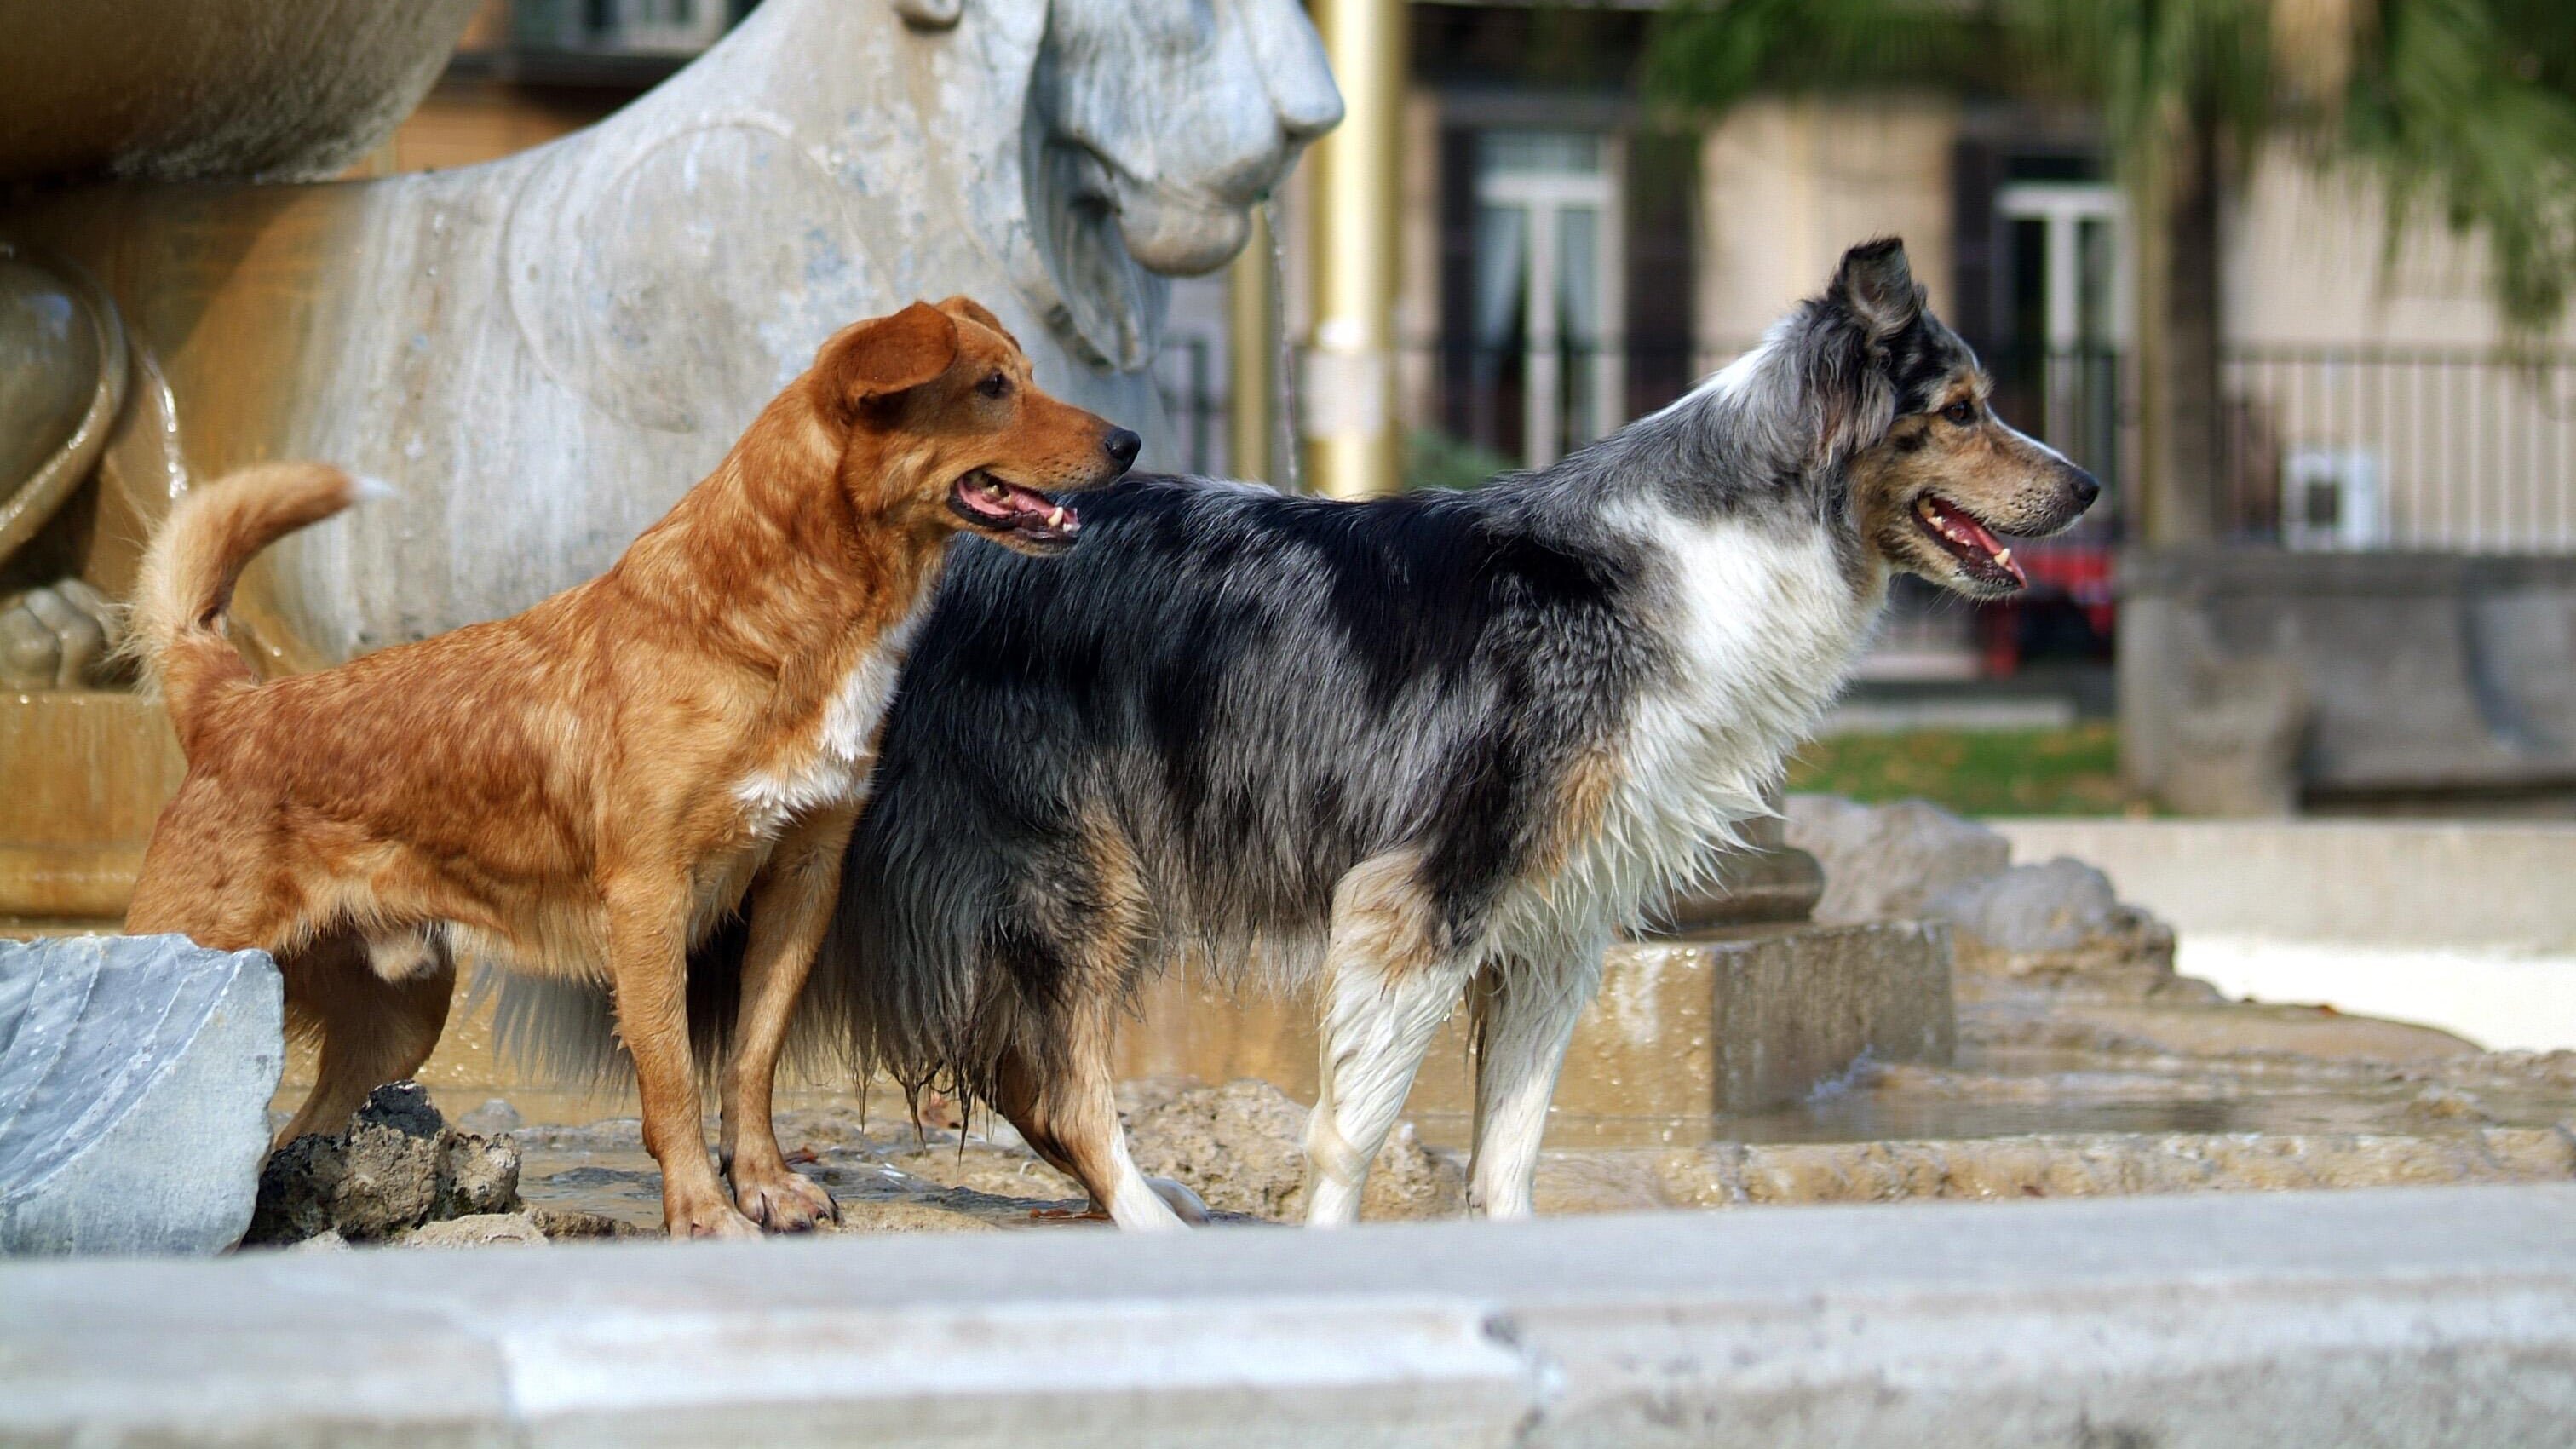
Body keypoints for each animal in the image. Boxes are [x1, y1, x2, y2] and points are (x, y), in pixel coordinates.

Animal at [121, 294, 1128, 1227]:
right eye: (992, 388)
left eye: (1027, 375)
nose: (1130, 440)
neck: (772, 625)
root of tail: (230, 707)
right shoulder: (649, 896)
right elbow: (673, 1074)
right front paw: (704, 1214)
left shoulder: (802, 876)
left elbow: (751, 1062)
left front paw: (765, 1187)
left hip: (397, 1019)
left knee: (288, 1136)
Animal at [584, 234, 2091, 1216]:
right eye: (1965, 410)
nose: (2085, 488)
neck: (1714, 543)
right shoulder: (1421, 891)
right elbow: (1353, 1135)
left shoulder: (1558, 921)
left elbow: (1508, 1151)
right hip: (1077, 867)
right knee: (1060, 1079)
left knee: (1020, 1073)